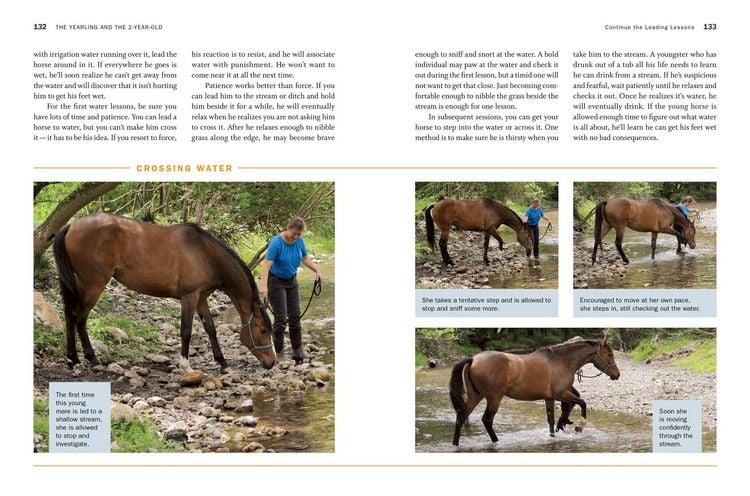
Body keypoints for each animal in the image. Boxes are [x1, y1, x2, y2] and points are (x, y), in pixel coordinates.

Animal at [53, 213, 276, 372]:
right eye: (263, 330)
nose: (272, 362)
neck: (205, 254)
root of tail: (72, 225)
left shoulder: (201, 298)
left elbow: (210, 328)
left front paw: (222, 362)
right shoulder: (189, 297)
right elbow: (186, 330)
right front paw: (185, 365)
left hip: (79, 284)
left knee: (69, 315)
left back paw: (72, 358)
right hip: (94, 285)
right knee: (79, 317)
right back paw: (91, 358)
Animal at [449, 337, 619, 446]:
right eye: (609, 354)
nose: (617, 374)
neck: (561, 361)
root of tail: (473, 359)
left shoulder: (550, 398)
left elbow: (551, 420)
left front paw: (553, 436)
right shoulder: (561, 394)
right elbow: (582, 403)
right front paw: (579, 427)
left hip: (476, 396)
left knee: (461, 416)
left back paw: (455, 444)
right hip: (494, 399)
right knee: (486, 420)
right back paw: (496, 442)